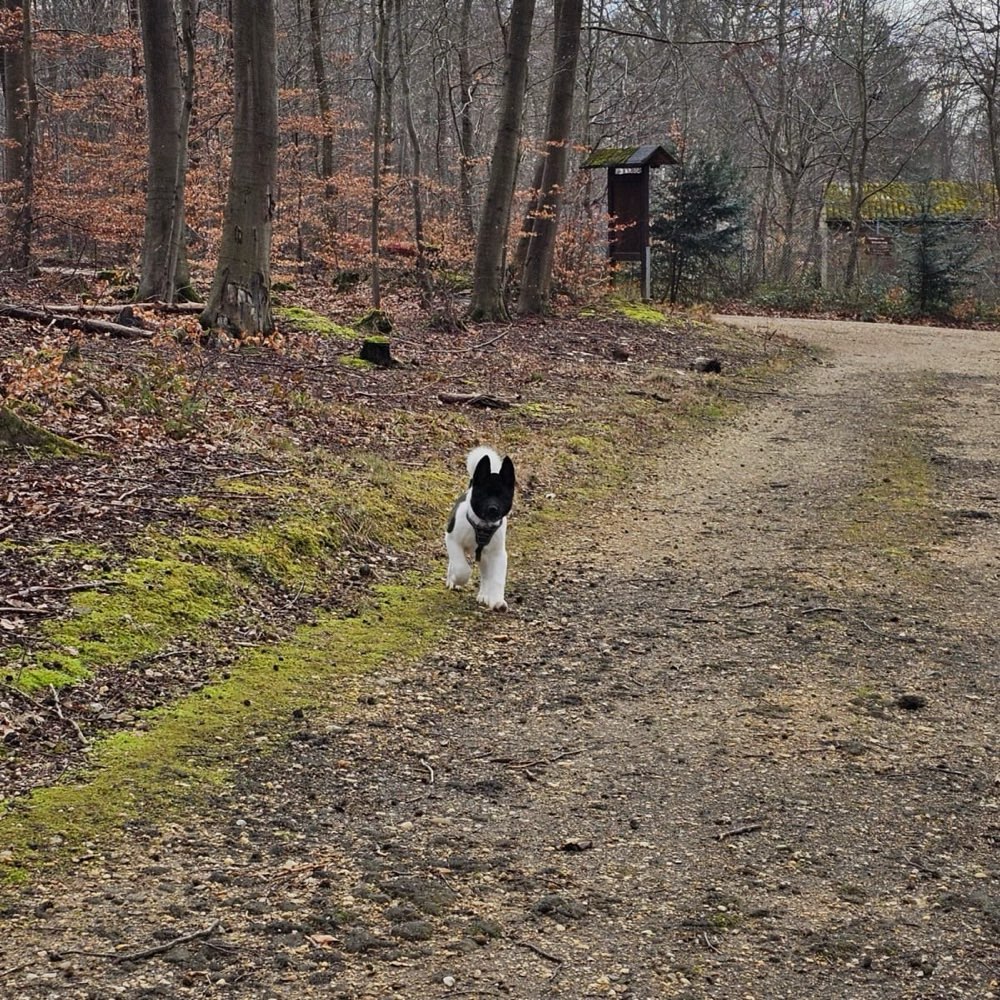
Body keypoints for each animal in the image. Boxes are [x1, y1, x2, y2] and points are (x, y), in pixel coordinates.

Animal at [450, 448, 520, 608]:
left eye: (503, 496)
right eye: (483, 495)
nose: (493, 509)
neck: (482, 526)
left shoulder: (498, 554)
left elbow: (497, 578)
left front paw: (497, 600)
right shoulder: (452, 539)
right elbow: (461, 568)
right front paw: (458, 580)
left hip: (485, 555)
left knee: (486, 575)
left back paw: (484, 595)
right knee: (454, 563)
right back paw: (451, 579)